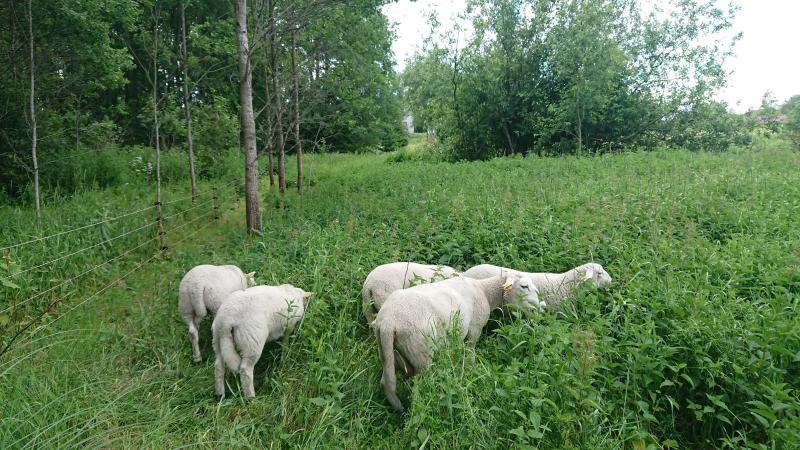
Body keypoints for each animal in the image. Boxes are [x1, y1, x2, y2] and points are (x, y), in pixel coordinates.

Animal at [372, 272, 540, 414]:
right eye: (524, 286)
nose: (540, 307)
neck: (485, 291)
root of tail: (388, 321)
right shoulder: (475, 328)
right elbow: (470, 352)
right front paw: (472, 371)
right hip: (421, 352)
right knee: (419, 387)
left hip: (390, 352)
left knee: (387, 382)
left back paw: (398, 408)